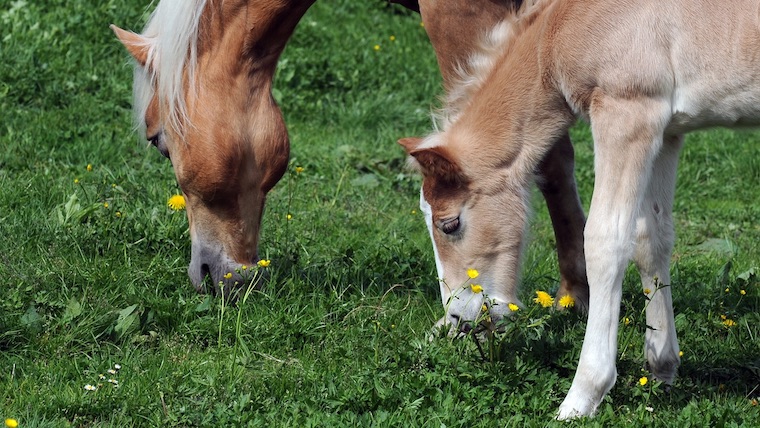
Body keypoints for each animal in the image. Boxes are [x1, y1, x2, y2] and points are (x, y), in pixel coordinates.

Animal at [401, 0, 760, 418]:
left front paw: (582, 396)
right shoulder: (667, 131)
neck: (561, 27)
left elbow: (606, 242)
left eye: (450, 224)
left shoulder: (628, 113)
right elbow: (651, 236)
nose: (460, 318)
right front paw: (662, 369)